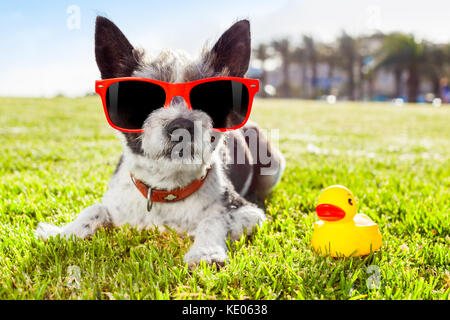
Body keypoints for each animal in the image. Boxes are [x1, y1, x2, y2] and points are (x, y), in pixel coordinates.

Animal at [37, 16, 286, 266]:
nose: (181, 125)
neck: (167, 190)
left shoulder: (249, 213)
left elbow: (214, 218)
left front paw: (205, 252)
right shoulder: (116, 205)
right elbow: (93, 209)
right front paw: (62, 233)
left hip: (273, 168)